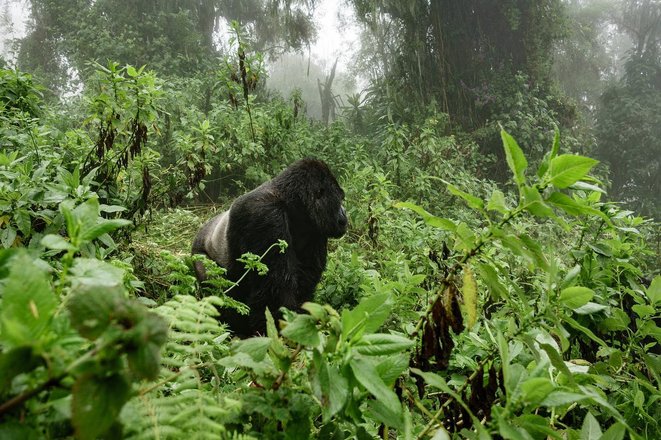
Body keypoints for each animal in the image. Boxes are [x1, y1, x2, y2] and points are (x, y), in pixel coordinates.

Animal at [189, 158, 346, 336]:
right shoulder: (265, 215)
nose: (344, 215)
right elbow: (276, 287)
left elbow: (305, 281)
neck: (292, 202)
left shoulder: (315, 229)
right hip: (199, 254)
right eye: (341, 200)